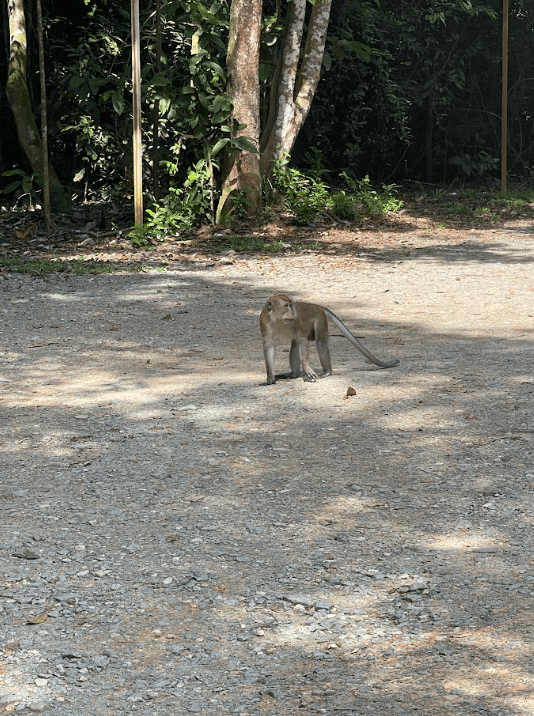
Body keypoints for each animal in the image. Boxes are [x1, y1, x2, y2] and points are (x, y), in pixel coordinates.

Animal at [262, 292, 400, 384]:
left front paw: (307, 368)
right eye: (286, 305)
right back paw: (294, 374)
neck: (279, 320)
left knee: (320, 343)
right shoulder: (264, 322)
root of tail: (317, 306)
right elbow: (269, 346)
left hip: (320, 319)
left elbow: (303, 340)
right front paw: (270, 377)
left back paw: (327, 371)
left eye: (291, 305)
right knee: (296, 344)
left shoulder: (296, 321)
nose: (292, 312)